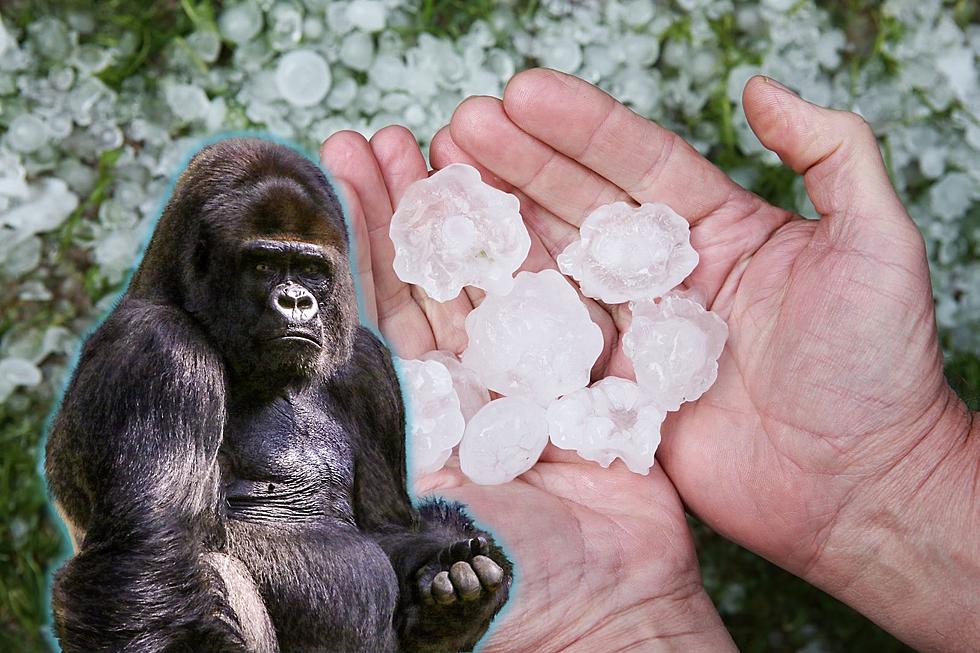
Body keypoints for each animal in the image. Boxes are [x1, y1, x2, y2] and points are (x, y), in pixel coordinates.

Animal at [44, 138, 512, 652]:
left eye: (310, 269)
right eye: (263, 265)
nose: (295, 301)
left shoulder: (367, 366)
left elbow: (386, 529)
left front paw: (449, 599)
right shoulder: (158, 351)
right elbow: (141, 561)